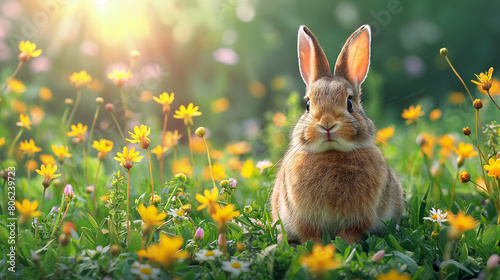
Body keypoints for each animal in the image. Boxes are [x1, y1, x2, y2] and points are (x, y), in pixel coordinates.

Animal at [270, 25, 406, 244]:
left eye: (349, 103)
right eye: (308, 105)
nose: (327, 123)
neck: (331, 152)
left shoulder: (357, 221)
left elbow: (348, 235)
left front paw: (344, 246)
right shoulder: (306, 221)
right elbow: (312, 236)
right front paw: (319, 248)